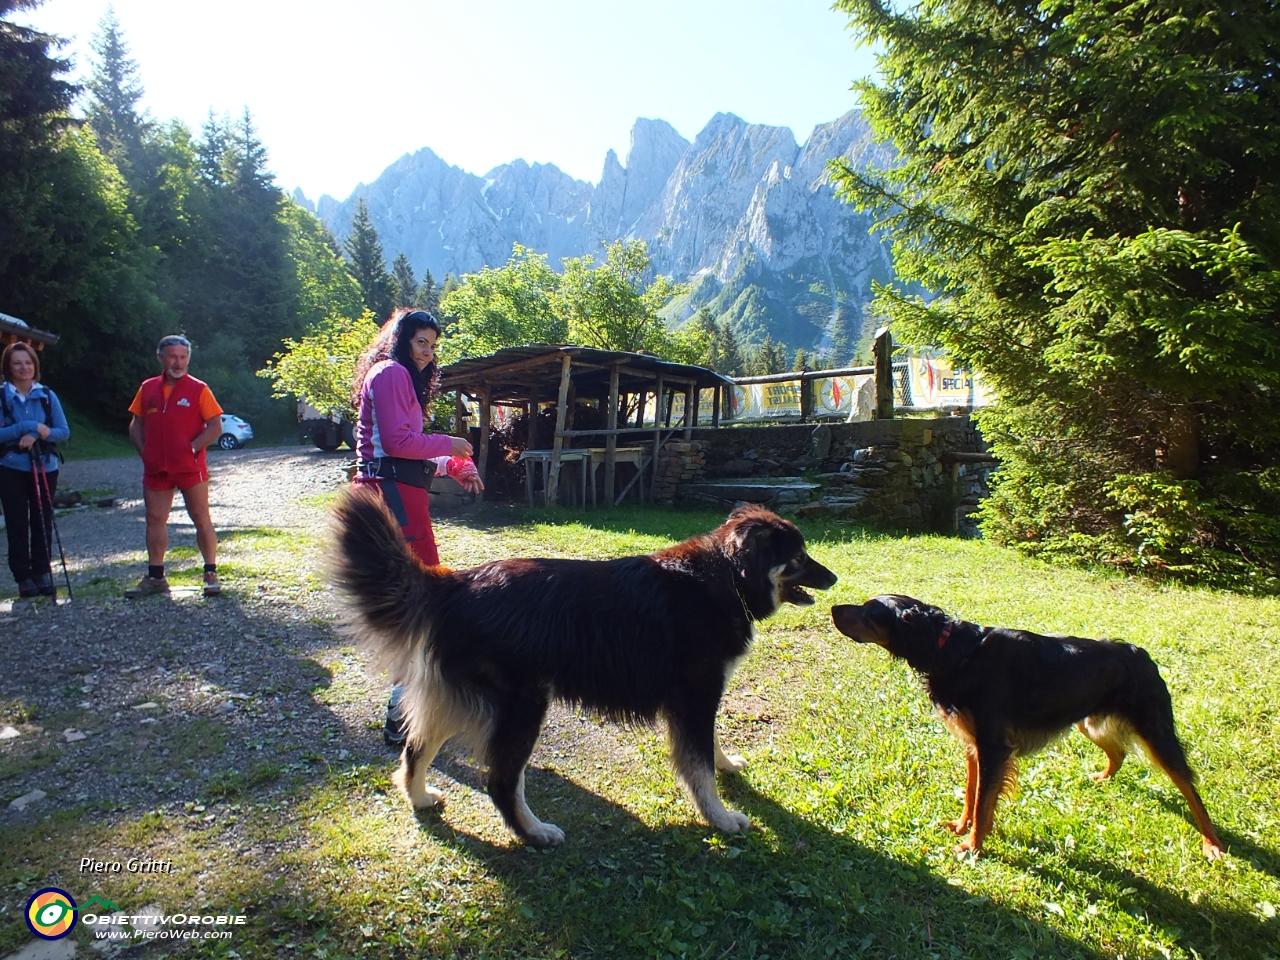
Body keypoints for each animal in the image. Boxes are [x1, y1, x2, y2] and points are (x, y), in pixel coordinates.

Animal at [330, 488, 834, 849]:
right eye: (799, 556)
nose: (834, 578)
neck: (725, 576)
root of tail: (455, 582)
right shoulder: (695, 698)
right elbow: (698, 767)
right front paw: (722, 818)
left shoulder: (698, 701)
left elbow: (710, 750)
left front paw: (727, 766)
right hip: (522, 708)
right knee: (501, 782)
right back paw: (535, 833)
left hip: (460, 702)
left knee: (415, 749)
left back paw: (418, 797)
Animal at [824, 599, 1223, 860]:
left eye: (868, 611)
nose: (833, 608)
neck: (953, 650)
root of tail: (1142, 654)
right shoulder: (974, 746)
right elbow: (971, 795)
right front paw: (962, 827)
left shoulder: (993, 746)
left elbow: (983, 802)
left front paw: (972, 847)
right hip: (1087, 721)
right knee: (1119, 751)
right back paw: (1103, 777)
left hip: (1156, 732)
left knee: (1191, 789)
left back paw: (1213, 844)